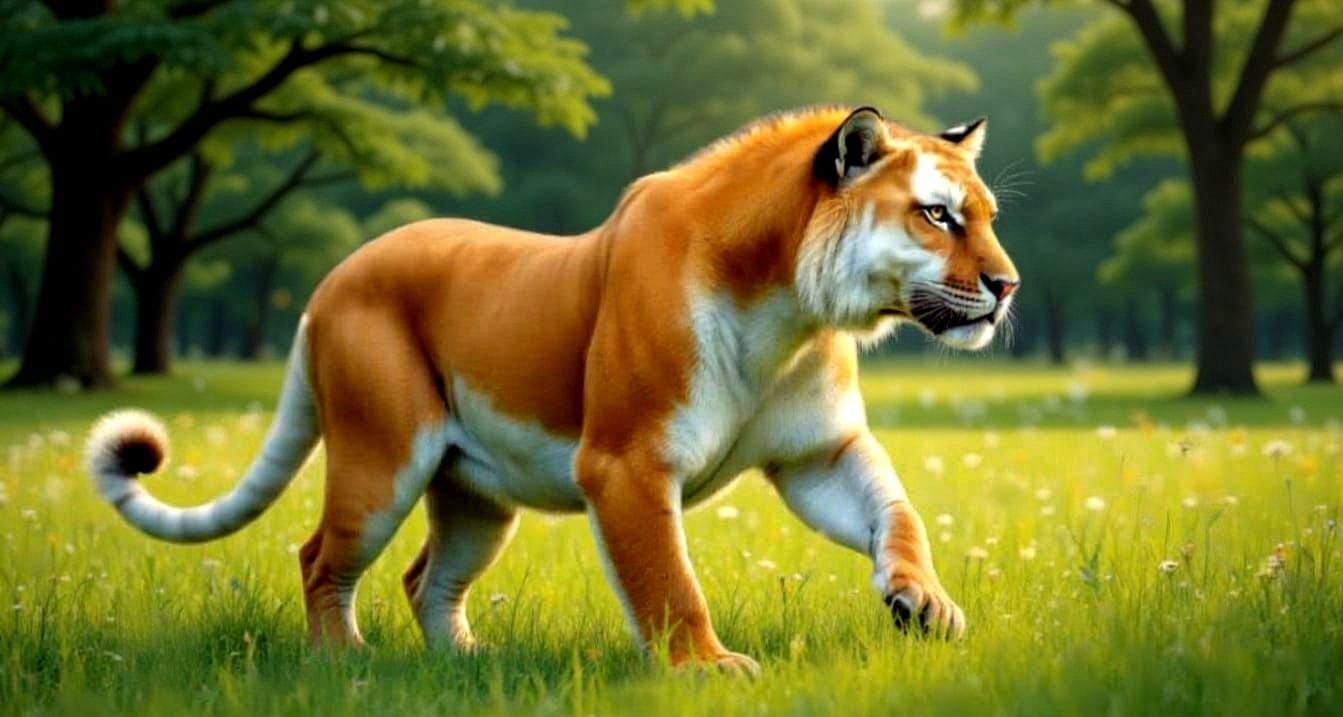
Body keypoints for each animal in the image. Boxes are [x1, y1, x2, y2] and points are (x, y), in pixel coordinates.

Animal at [87, 106, 1018, 676]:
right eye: (936, 214)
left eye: (985, 213)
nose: (1006, 285)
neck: (790, 307)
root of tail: (333, 278)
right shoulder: (626, 462)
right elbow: (667, 580)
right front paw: (708, 669)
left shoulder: (818, 452)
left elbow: (896, 513)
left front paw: (925, 603)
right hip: (378, 461)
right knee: (320, 555)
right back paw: (341, 661)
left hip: (473, 497)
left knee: (426, 577)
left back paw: (465, 663)